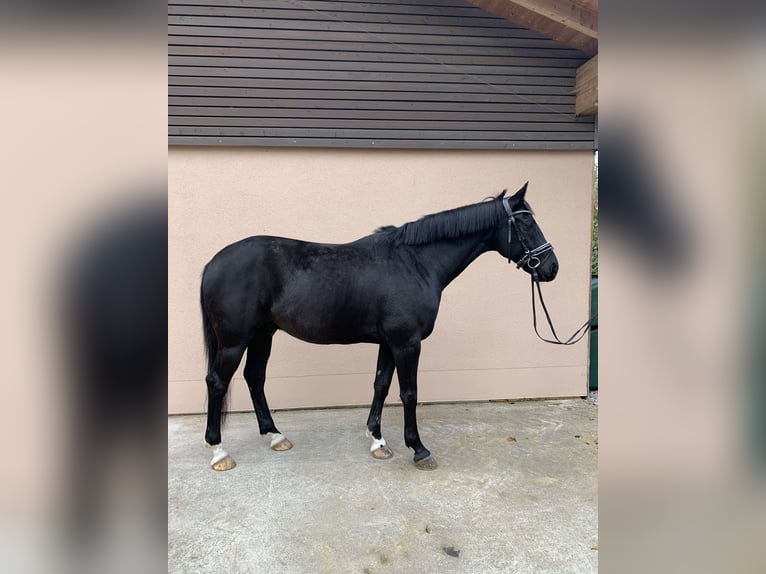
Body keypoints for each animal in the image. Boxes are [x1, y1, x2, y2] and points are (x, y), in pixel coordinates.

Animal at [200, 182, 560, 470]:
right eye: (526, 221)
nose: (552, 267)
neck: (415, 263)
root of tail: (213, 262)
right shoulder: (407, 343)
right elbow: (409, 393)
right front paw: (419, 449)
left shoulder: (389, 343)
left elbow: (381, 386)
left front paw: (378, 441)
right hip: (234, 342)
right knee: (217, 382)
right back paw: (219, 451)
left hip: (263, 334)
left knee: (254, 378)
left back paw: (275, 436)